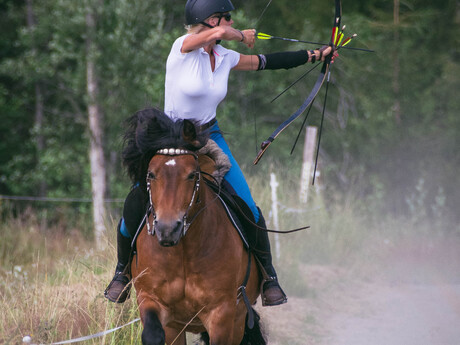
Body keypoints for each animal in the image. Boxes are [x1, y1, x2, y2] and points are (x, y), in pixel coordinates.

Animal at [123, 109, 266, 344]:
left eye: (192, 175)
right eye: (151, 174)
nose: (167, 230)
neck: (182, 251)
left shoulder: (222, 314)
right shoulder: (152, 301)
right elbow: (153, 334)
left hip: (238, 321)